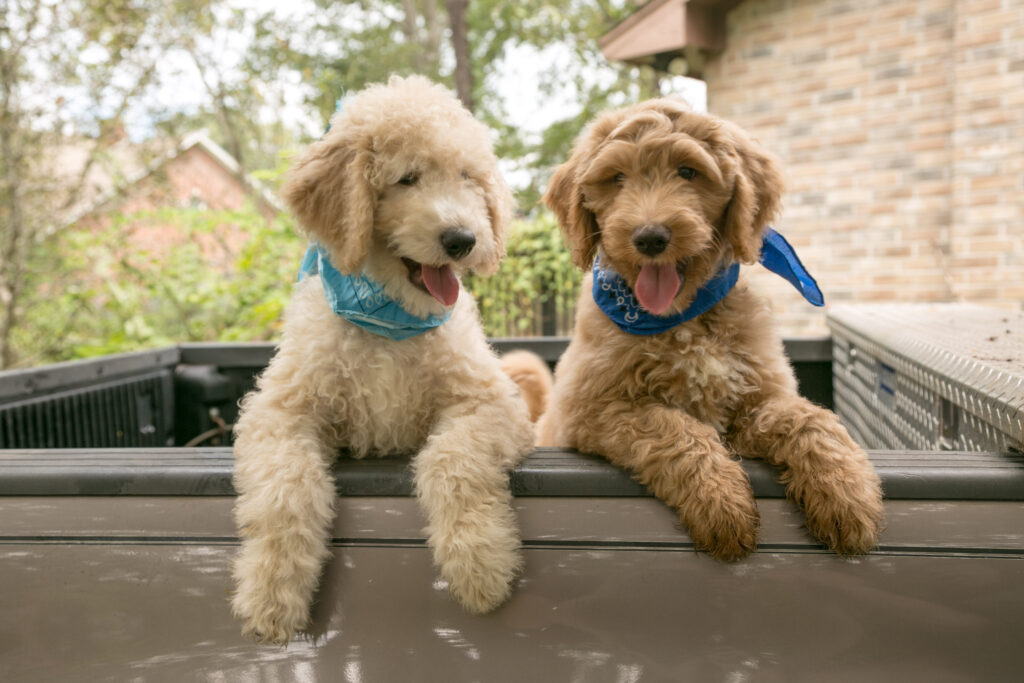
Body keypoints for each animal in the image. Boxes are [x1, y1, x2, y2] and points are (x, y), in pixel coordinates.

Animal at [230, 77, 536, 643]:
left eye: (467, 177)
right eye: (406, 178)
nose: (463, 239)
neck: (391, 321)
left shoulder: (491, 402)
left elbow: (450, 458)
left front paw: (480, 563)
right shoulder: (278, 412)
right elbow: (286, 488)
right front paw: (271, 594)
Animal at [536, 98, 880, 565]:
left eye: (688, 171)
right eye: (617, 178)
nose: (650, 237)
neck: (682, 319)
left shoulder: (758, 397)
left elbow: (807, 418)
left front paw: (846, 492)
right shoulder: (590, 409)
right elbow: (672, 428)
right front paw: (721, 502)